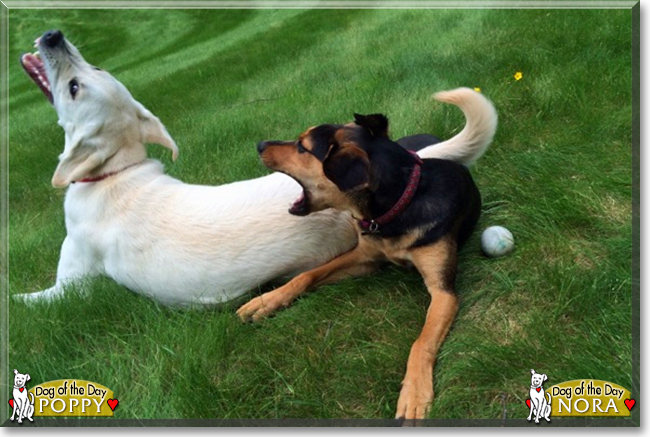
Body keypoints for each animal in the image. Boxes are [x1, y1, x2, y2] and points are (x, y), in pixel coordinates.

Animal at [17, 29, 496, 306]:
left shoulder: (69, 286)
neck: (115, 172)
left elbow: (23, 301)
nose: (53, 34)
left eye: (75, 86)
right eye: (85, 75)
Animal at [238, 87, 496, 418]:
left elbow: (421, 342)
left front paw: (414, 393)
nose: (259, 144)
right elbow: (307, 275)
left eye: (302, 147)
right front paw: (266, 301)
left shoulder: (444, 291)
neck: (398, 204)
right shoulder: (364, 259)